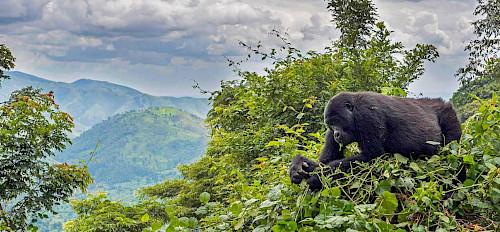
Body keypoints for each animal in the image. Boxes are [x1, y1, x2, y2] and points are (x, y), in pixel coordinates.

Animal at [290, 91, 460, 189]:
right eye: (330, 125)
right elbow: (327, 159)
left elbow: (371, 156)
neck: (354, 106)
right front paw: (299, 164)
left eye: (336, 121)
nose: (336, 134)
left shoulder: (366, 113)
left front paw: (317, 177)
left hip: (449, 117)